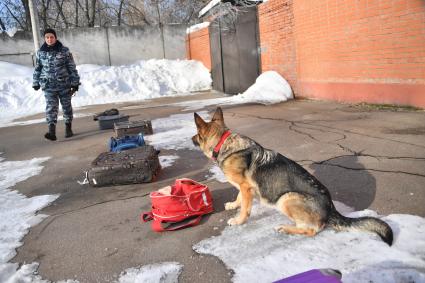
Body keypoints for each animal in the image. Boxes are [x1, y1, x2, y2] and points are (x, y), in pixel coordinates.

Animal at [190, 107, 392, 245]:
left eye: (197, 135)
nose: (191, 139)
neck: (223, 144)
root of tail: (331, 209)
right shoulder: (244, 187)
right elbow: (239, 197)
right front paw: (234, 204)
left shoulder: (246, 187)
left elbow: (245, 208)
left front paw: (239, 220)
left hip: (286, 198)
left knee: (312, 230)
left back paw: (285, 228)